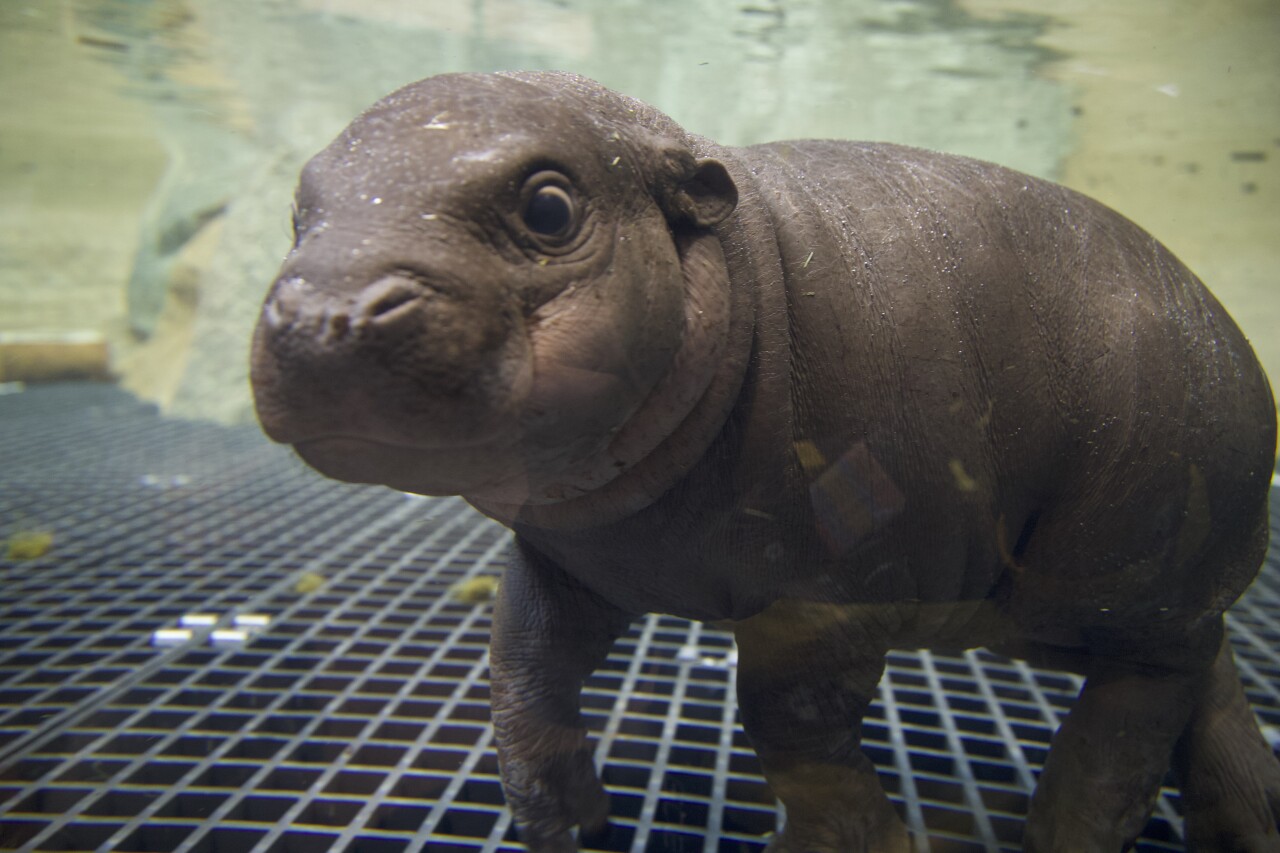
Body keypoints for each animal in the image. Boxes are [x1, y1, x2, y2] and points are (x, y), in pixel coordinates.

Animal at [250, 71, 1279, 852]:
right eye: (299, 209)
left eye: (548, 206)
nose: (326, 312)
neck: (743, 273)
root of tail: (1230, 333)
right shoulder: (566, 560)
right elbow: (521, 668)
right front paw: (567, 824)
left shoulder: (833, 592)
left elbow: (792, 718)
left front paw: (851, 839)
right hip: (1064, 609)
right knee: (1208, 667)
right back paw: (1245, 815)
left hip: (1116, 568)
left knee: (1144, 696)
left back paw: (1070, 826)